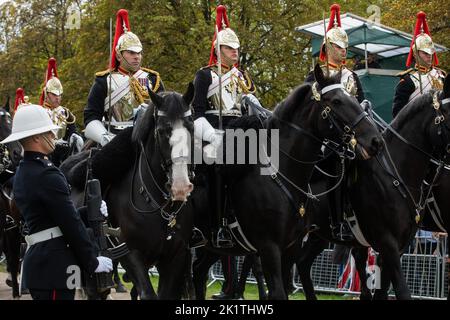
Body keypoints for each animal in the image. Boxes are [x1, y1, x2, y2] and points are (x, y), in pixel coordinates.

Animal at [61, 86, 195, 298]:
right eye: (161, 131)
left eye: (191, 129)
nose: (180, 186)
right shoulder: (130, 254)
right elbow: (148, 293)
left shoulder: (175, 257)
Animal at [191, 63, 384, 300]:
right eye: (336, 101)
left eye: (355, 99)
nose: (376, 141)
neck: (282, 171)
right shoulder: (269, 247)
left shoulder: (290, 247)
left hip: (212, 246)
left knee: (198, 271)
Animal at [296, 73, 450, 300]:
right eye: (448, 113)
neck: (394, 172)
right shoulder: (388, 243)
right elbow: (401, 290)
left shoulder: (398, 246)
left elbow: (382, 289)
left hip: (318, 234)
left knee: (302, 263)